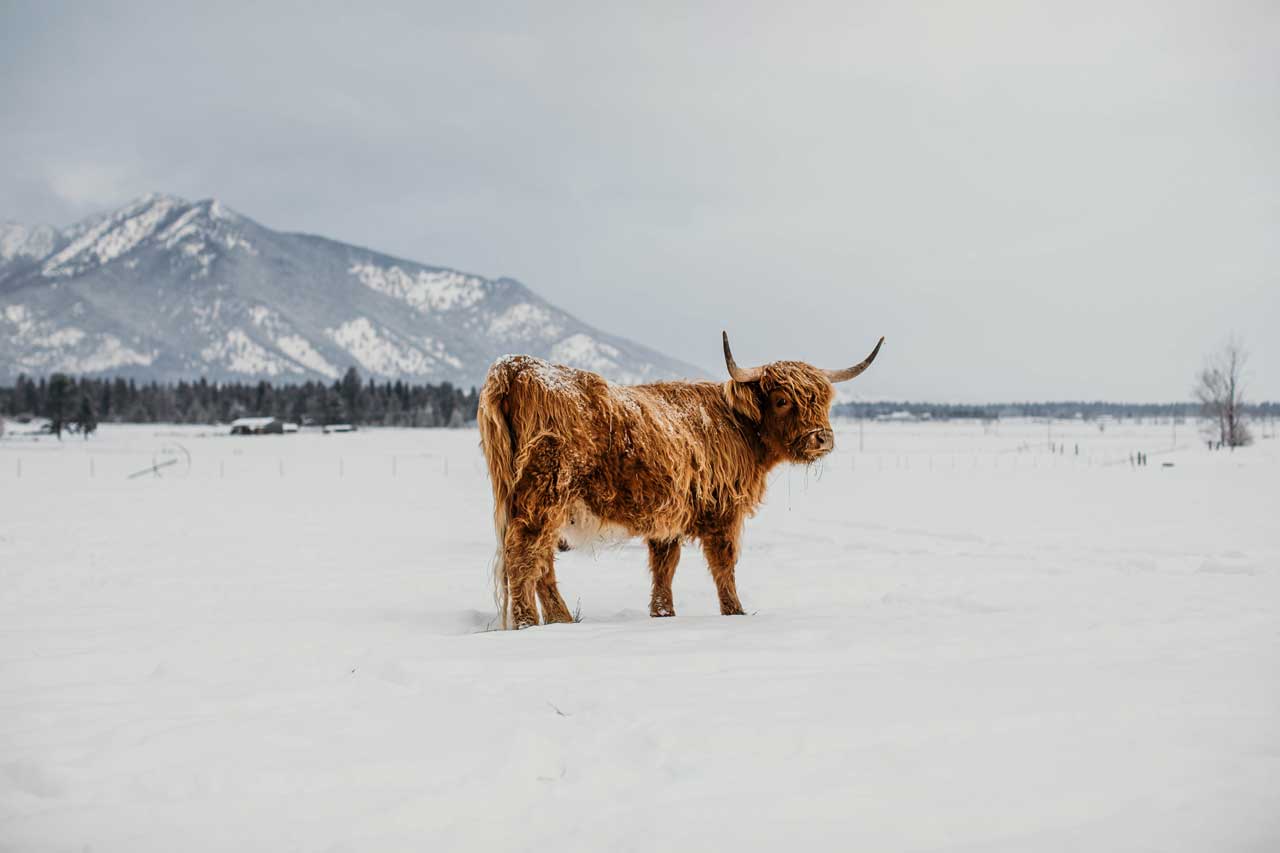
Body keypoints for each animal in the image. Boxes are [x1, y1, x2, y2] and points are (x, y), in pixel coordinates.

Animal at [476, 327, 885, 627]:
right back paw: (530, 624)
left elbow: (664, 568)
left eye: (823, 400)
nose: (822, 438)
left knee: (541, 562)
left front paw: (663, 614)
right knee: (524, 556)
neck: (740, 427)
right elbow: (724, 564)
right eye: (783, 400)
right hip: (545, 492)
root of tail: (517, 366)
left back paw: (561, 621)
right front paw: (736, 613)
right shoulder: (723, 510)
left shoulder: (668, 518)